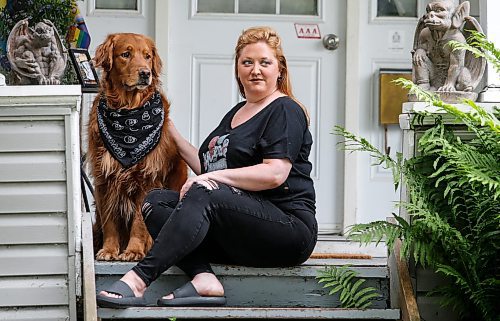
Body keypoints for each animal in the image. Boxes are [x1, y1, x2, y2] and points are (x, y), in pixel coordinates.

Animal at [88, 32, 188, 258]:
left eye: (147, 56)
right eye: (126, 54)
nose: (145, 73)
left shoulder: (147, 177)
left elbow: (139, 222)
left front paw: (133, 250)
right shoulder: (103, 178)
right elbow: (109, 221)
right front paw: (109, 249)